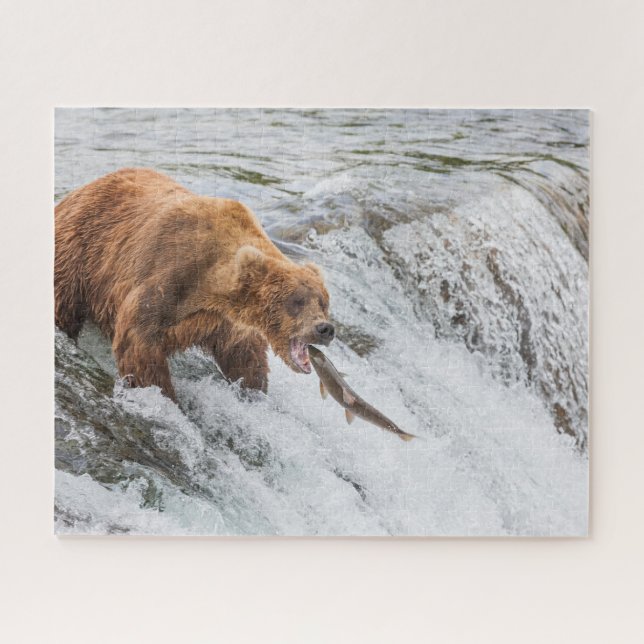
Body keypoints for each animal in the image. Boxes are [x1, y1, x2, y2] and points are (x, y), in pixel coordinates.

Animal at [55, 167, 334, 401]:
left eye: (323, 302)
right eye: (297, 301)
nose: (325, 329)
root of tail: (76, 192)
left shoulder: (223, 320)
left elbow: (243, 355)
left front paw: (253, 389)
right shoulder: (167, 276)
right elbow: (137, 341)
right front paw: (165, 395)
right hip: (79, 255)